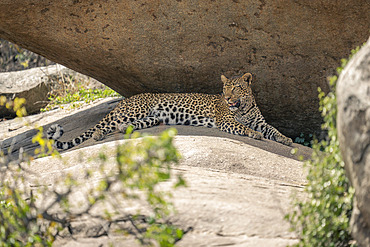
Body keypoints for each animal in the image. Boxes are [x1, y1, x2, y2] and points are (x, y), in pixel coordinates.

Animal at [47, 73, 294, 151]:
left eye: (237, 88)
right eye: (225, 88)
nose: (227, 98)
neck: (244, 106)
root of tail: (126, 100)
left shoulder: (261, 121)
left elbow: (273, 130)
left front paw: (287, 139)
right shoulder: (225, 121)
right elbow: (242, 126)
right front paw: (253, 134)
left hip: (150, 120)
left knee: (120, 126)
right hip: (133, 111)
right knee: (103, 126)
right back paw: (99, 135)